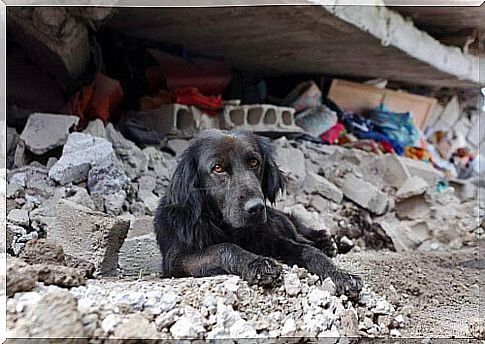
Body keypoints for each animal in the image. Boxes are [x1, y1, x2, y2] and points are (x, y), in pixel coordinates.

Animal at [153, 130, 362, 296]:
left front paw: (340, 274)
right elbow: (224, 248)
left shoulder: (273, 240)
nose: (256, 207)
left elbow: (309, 251)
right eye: (218, 168)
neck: (230, 228)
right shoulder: (177, 261)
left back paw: (328, 242)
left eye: (254, 162)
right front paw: (258, 263)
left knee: (301, 233)